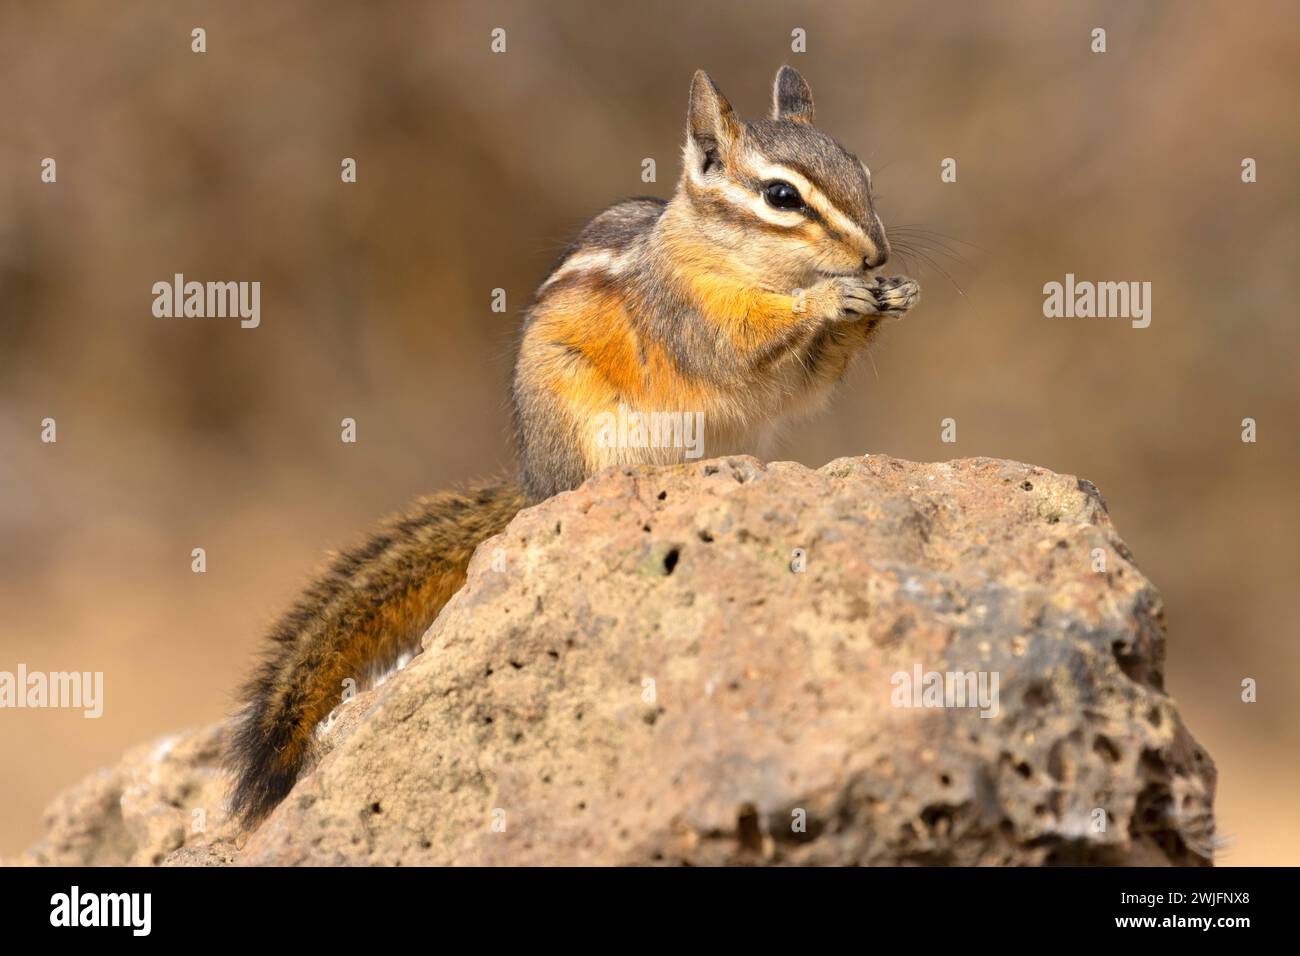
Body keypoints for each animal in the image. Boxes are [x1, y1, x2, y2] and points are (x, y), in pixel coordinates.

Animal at [227, 66, 920, 825]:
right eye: (782, 197)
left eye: (861, 172)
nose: (876, 254)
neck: (725, 257)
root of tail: (536, 482)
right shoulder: (689, 315)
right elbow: (740, 342)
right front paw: (832, 300)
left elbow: (808, 380)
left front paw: (891, 294)